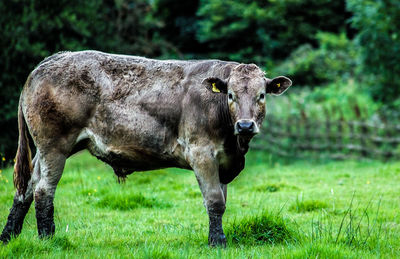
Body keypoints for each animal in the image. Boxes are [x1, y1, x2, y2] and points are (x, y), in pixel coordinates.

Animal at [0, 50, 290, 248]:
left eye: (261, 96)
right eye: (231, 95)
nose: (245, 125)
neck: (234, 143)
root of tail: (48, 62)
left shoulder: (223, 162)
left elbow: (222, 201)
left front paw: (215, 238)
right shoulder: (202, 154)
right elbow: (215, 202)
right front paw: (218, 243)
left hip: (47, 149)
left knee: (26, 187)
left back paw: (8, 236)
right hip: (54, 146)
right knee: (43, 189)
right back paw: (47, 238)